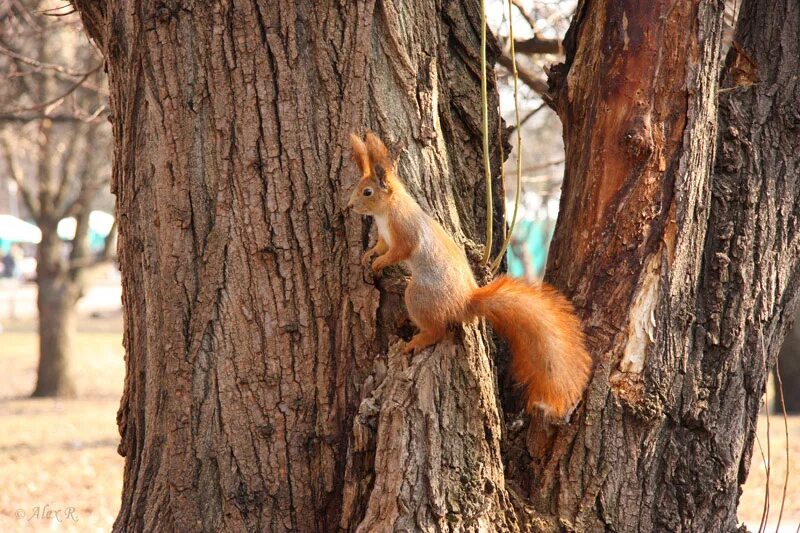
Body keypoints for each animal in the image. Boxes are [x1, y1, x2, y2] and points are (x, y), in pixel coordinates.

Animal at [346, 131, 592, 418]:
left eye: (367, 191)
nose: (350, 206)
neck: (387, 210)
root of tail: (464, 303)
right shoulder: (385, 236)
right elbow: (381, 247)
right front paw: (368, 256)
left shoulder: (404, 232)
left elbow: (398, 252)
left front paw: (378, 264)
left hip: (419, 295)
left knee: (437, 330)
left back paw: (416, 341)